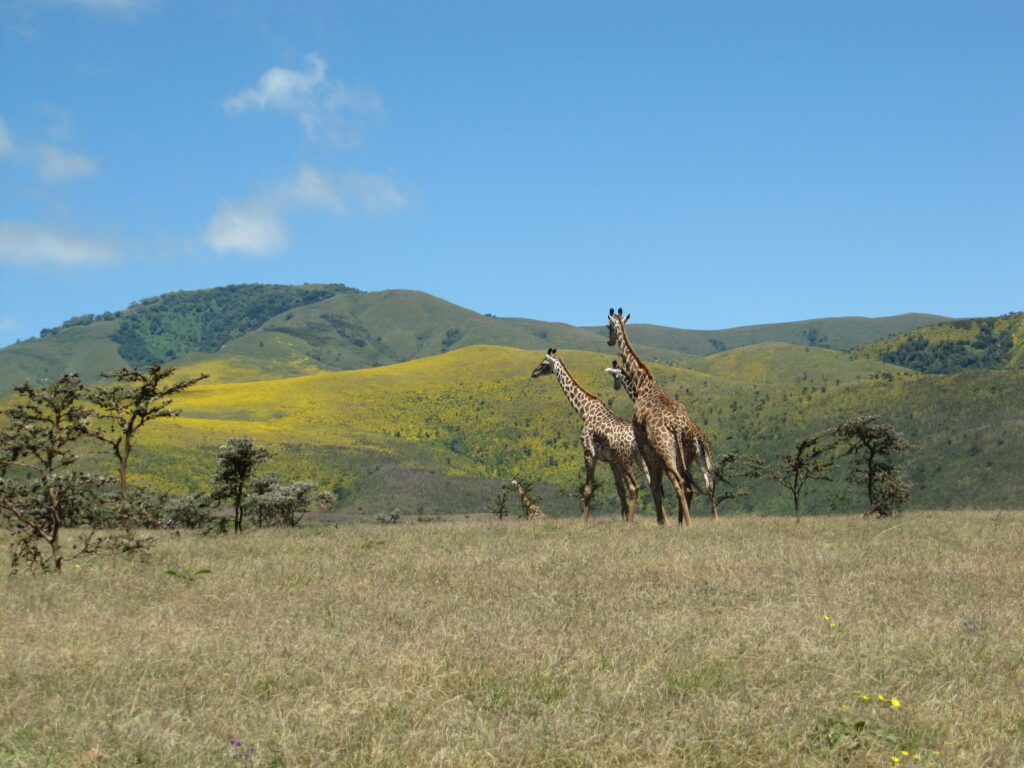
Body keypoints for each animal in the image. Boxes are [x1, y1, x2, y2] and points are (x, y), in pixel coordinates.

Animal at [532, 350, 643, 524]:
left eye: (544, 363)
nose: (533, 373)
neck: (584, 410)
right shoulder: (612, 461)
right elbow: (619, 490)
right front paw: (623, 518)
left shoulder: (589, 453)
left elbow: (587, 489)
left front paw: (583, 522)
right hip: (639, 459)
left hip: (626, 459)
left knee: (634, 486)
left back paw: (631, 523)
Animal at [602, 309, 716, 528]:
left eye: (607, 326)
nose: (609, 341)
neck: (642, 384)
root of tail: (677, 426)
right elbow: (657, 484)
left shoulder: (644, 444)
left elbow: (654, 484)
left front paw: (661, 521)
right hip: (687, 455)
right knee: (701, 483)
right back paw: (692, 521)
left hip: (667, 452)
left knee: (681, 483)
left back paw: (686, 523)